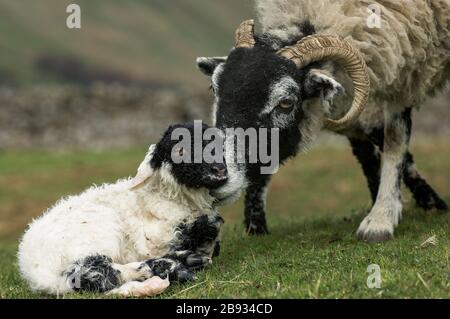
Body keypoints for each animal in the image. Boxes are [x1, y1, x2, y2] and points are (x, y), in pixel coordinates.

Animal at [18, 122, 229, 298]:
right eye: (180, 150)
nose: (219, 170)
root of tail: (35, 272)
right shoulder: (151, 242)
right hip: (95, 234)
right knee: (90, 273)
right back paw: (171, 269)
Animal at [199, 0, 448, 244]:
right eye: (214, 88)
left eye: (286, 102)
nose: (217, 175)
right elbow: (368, 153)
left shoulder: (401, 77)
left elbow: (395, 140)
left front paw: (381, 219)